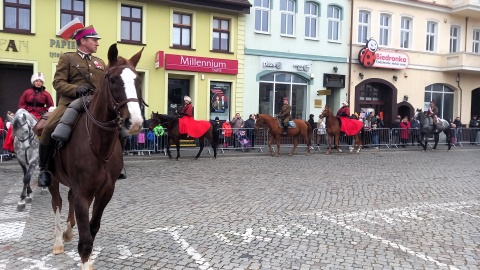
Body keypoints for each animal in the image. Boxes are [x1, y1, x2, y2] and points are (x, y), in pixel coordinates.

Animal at [47, 43, 144, 268]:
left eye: (137, 80)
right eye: (113, 80)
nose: (135, 122)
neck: (99, 145)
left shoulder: (105, 192)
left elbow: (92, 228)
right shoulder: (83, 192)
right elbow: (85, 240)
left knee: (68, 198)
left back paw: (67, 232)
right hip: (53, 178)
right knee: (57, 203)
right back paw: (58, 242)